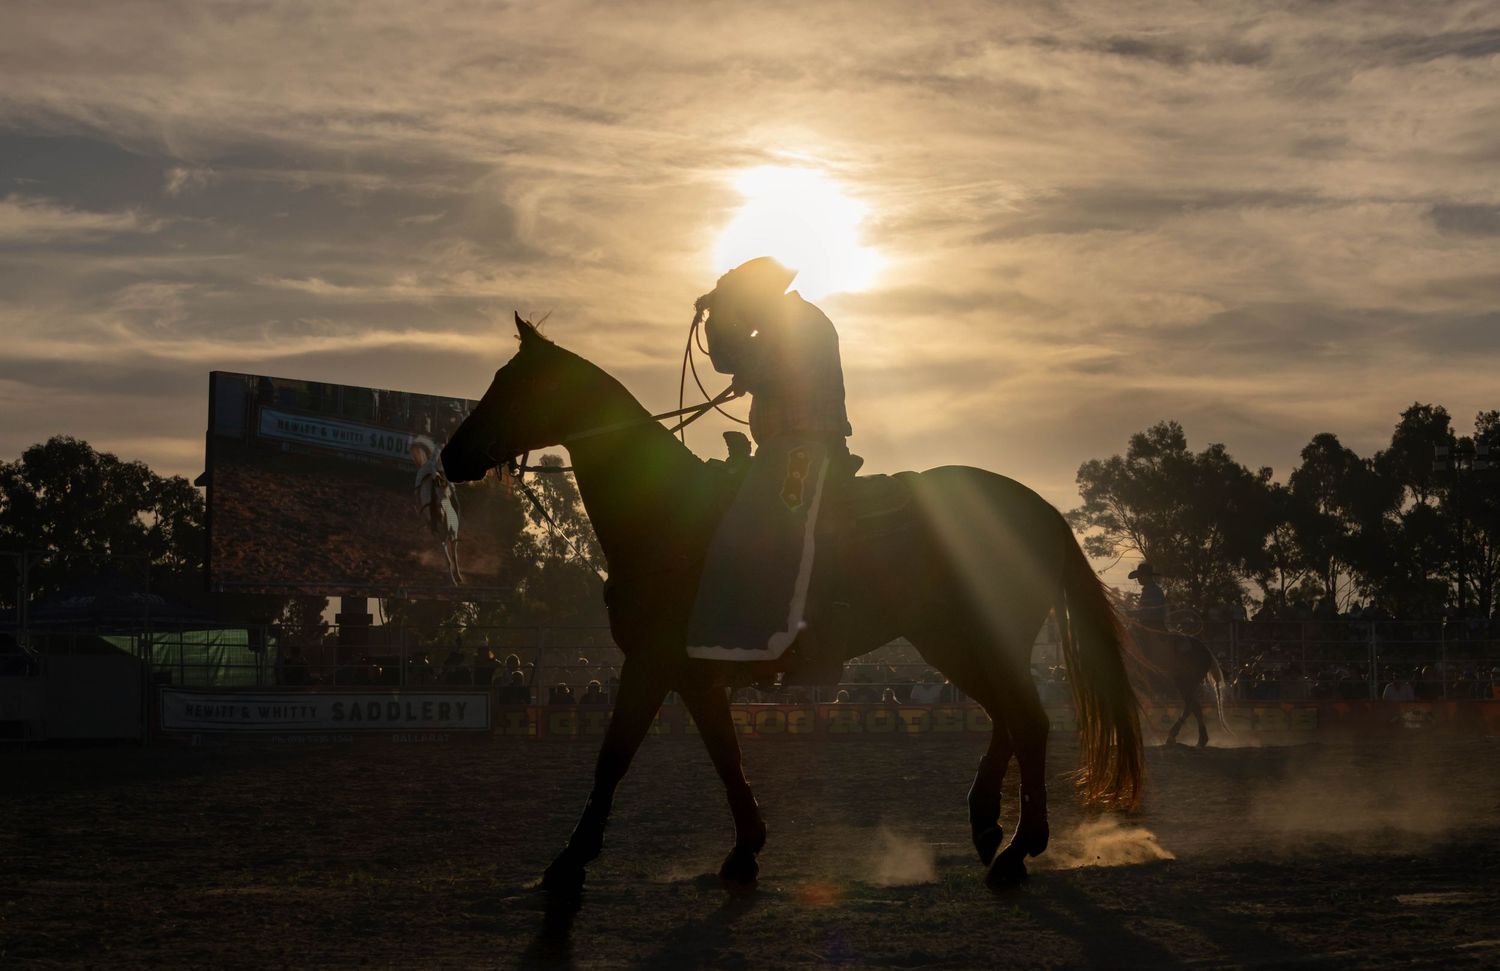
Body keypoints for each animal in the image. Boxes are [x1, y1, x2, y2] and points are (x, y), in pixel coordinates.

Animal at [441, 313, 1144, 891]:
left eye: (510, 383)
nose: (451, 455)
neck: (667, 514)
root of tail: (1040, 509)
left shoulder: (649, 664)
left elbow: (612, 756)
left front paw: (570, 860)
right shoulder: (694, 675)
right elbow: (726, 755)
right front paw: (745, 849)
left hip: (969, 640)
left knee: (1028, 721)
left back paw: (1018, 849)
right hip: (956, 642)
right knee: (1009, 718)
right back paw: (986, 825)